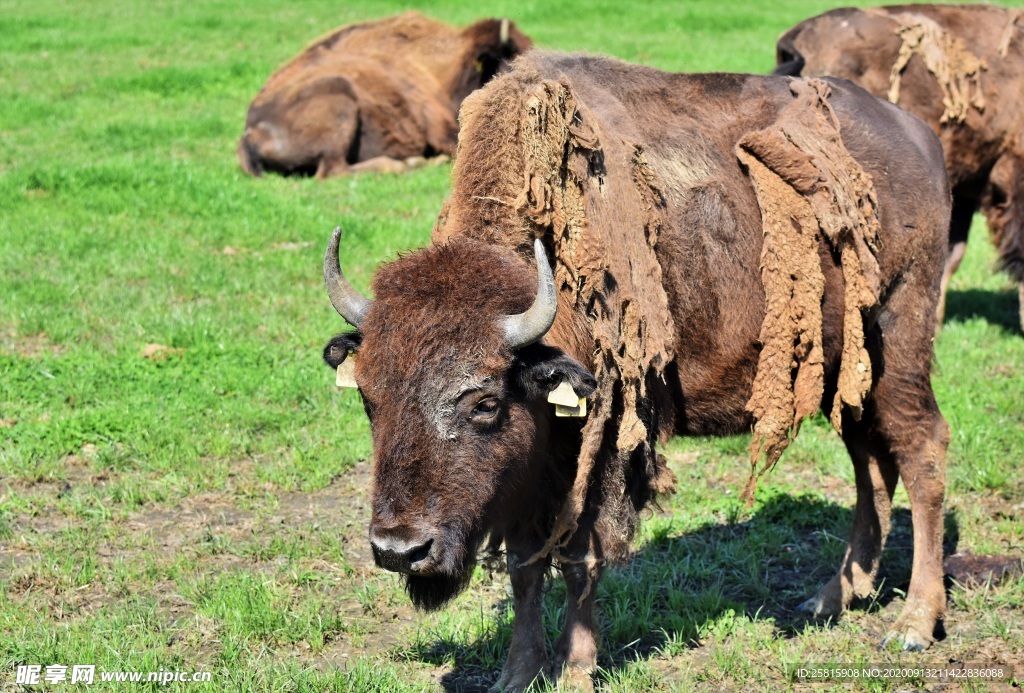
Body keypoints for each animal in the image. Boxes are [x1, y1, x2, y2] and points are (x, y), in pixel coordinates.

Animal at [321, 51, 950, 687]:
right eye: (368, 398)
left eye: (485, 402)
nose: (399, 549)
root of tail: (919, 137)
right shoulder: (529, 471)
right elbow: (526, 567)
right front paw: (515, 675)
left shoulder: (599, 453)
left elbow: (580, 559)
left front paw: (576, 671)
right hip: (846, 371)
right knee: (869, 459)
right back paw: (832, 597)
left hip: (899, 340)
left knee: (921, 451)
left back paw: (913, 625)